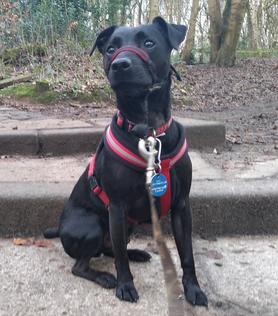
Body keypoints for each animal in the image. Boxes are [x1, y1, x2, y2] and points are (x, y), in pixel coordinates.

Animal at [45, 16, 206, 306]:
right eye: (110, 48)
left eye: (149, 43)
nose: (120, 64)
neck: (149, 130)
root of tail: (60, 230)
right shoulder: (117, 208)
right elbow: (120, 259)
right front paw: (125, 285)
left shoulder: (180, 206)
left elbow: (187, 254)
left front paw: (193, 288)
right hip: (94, 226)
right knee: (83, 264)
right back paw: (104, 277)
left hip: (126, 226)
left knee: (109, 250)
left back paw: (137, 254)